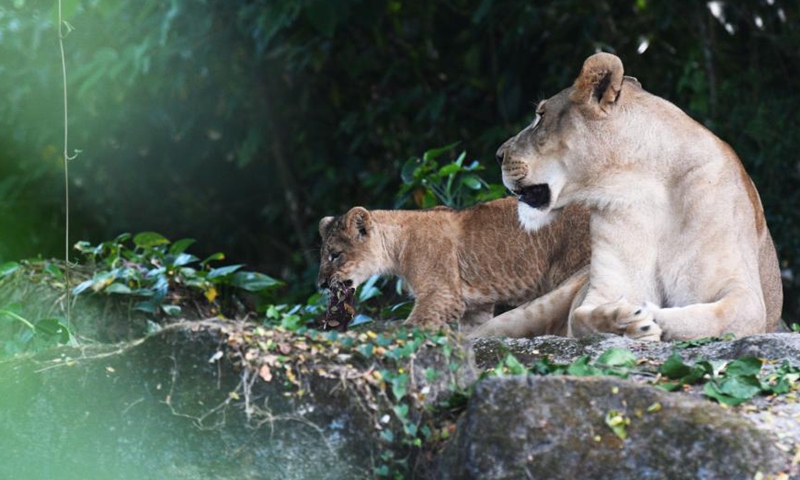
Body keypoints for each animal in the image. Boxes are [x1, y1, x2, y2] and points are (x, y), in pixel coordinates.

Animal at [317, 197, 590, 332]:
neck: (396, 246)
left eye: (335, 255)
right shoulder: (474, 307)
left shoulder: (443, 294)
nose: (321, 284)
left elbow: (413, 327)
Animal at [472, 52, 782, 341]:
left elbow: (711, 318)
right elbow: (581, 317)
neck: (643, 183)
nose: (498, 155)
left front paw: (646, 315)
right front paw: (626, 320)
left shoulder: (745, 294)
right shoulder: (606, 287)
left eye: (541, 117)